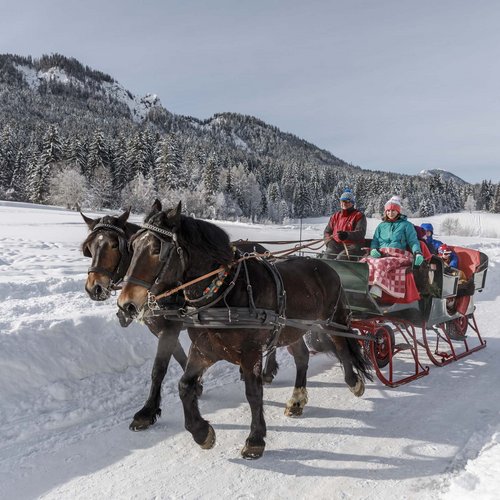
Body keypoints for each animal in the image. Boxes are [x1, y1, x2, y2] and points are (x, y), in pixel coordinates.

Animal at [115, 201, 370, 458]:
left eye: (157, 249)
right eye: (132, 245)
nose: (126, 304)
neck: (223, 291)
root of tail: (325, 265)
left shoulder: (250, 352)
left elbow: (253, 393)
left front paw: (255, 439)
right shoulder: (204, 349)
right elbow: (184, 385)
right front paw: (201, 432)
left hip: (331, 320)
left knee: (342, 345)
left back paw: (353, 382)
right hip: (291, 329)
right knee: (302, 357)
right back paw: (297, 400)